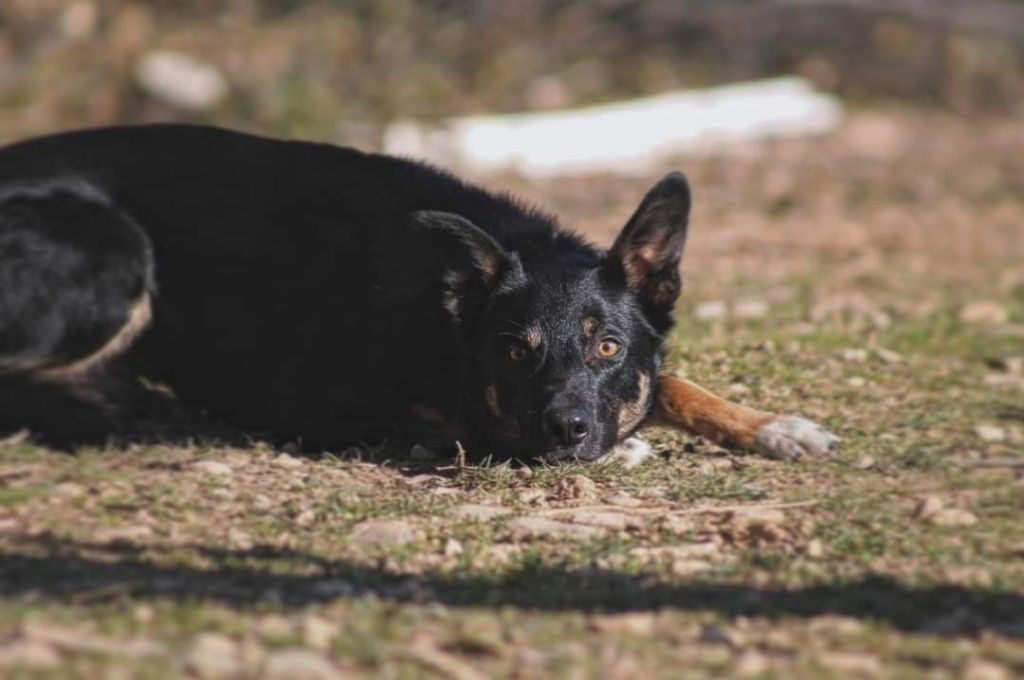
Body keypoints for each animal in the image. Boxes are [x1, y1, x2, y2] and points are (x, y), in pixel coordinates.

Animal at [0, 124, 839, 462]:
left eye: (608, 347)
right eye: (514, 353)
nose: (566, 431)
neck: (440, 307)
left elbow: (672, 382)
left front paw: (772, 426)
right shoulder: (311, 406)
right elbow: (464, 428)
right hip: (116, 253)